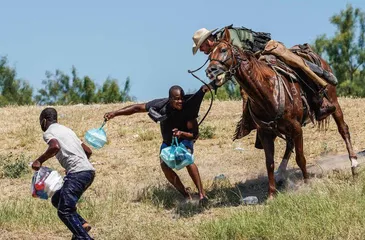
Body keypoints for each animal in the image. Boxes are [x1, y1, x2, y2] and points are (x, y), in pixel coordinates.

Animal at [206, 27, 356, 199]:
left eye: (224, 50)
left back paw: (354, 165)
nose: (210, 71)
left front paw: (307, 184)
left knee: (343, 129)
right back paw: (281, 174)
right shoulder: (265, 132)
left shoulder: (296, 128)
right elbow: (269, 163)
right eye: (209, 55)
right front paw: (271, 193)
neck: (268, 91)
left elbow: (300, 158)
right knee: (289, 144)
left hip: (333, 102)